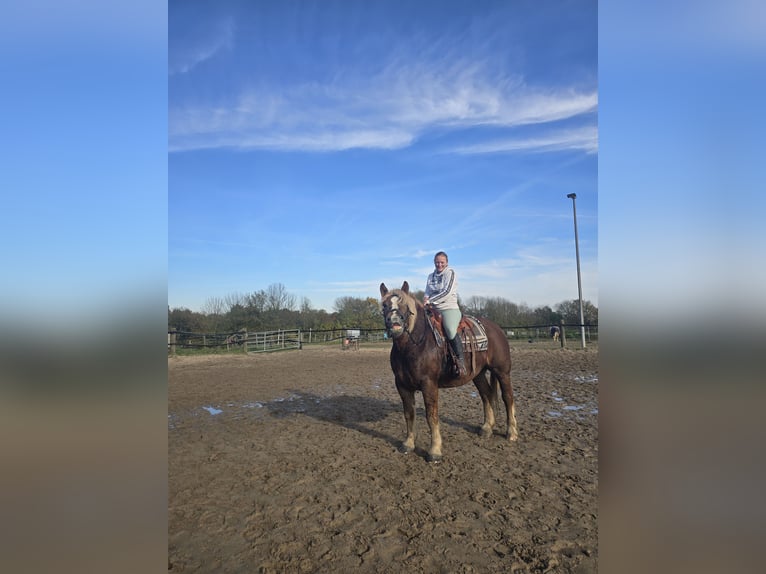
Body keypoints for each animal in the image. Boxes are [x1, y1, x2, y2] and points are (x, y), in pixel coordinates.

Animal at [380, 282, 520, 466]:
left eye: (404, 304)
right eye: (384, 305)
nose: (394, 321)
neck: (414, 345)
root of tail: (496, 329)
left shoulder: (429, 384)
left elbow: (431, 416)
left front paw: (435, 451)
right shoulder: (402, 385)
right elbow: (409, 414)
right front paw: (408, 444)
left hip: (502, 372)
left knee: (507, 397)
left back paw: (512, 433)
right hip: (478, 374)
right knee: (486, 395)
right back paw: (487, 428)